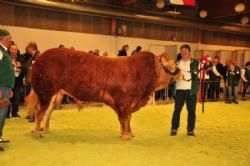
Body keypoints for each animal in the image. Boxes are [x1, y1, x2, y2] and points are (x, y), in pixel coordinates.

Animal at [30, 48, 180, 140]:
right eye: (172, 65)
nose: (181, 73)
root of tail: (39, 58)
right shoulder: (123, 101)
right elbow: (124, 118)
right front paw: (125, 136)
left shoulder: (129, 103)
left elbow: (127, 118)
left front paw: (128, 134)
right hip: (44, 93)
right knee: (39, 112)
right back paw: (37, 133)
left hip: (54, 95)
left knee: (47, 112)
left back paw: (46, 130)